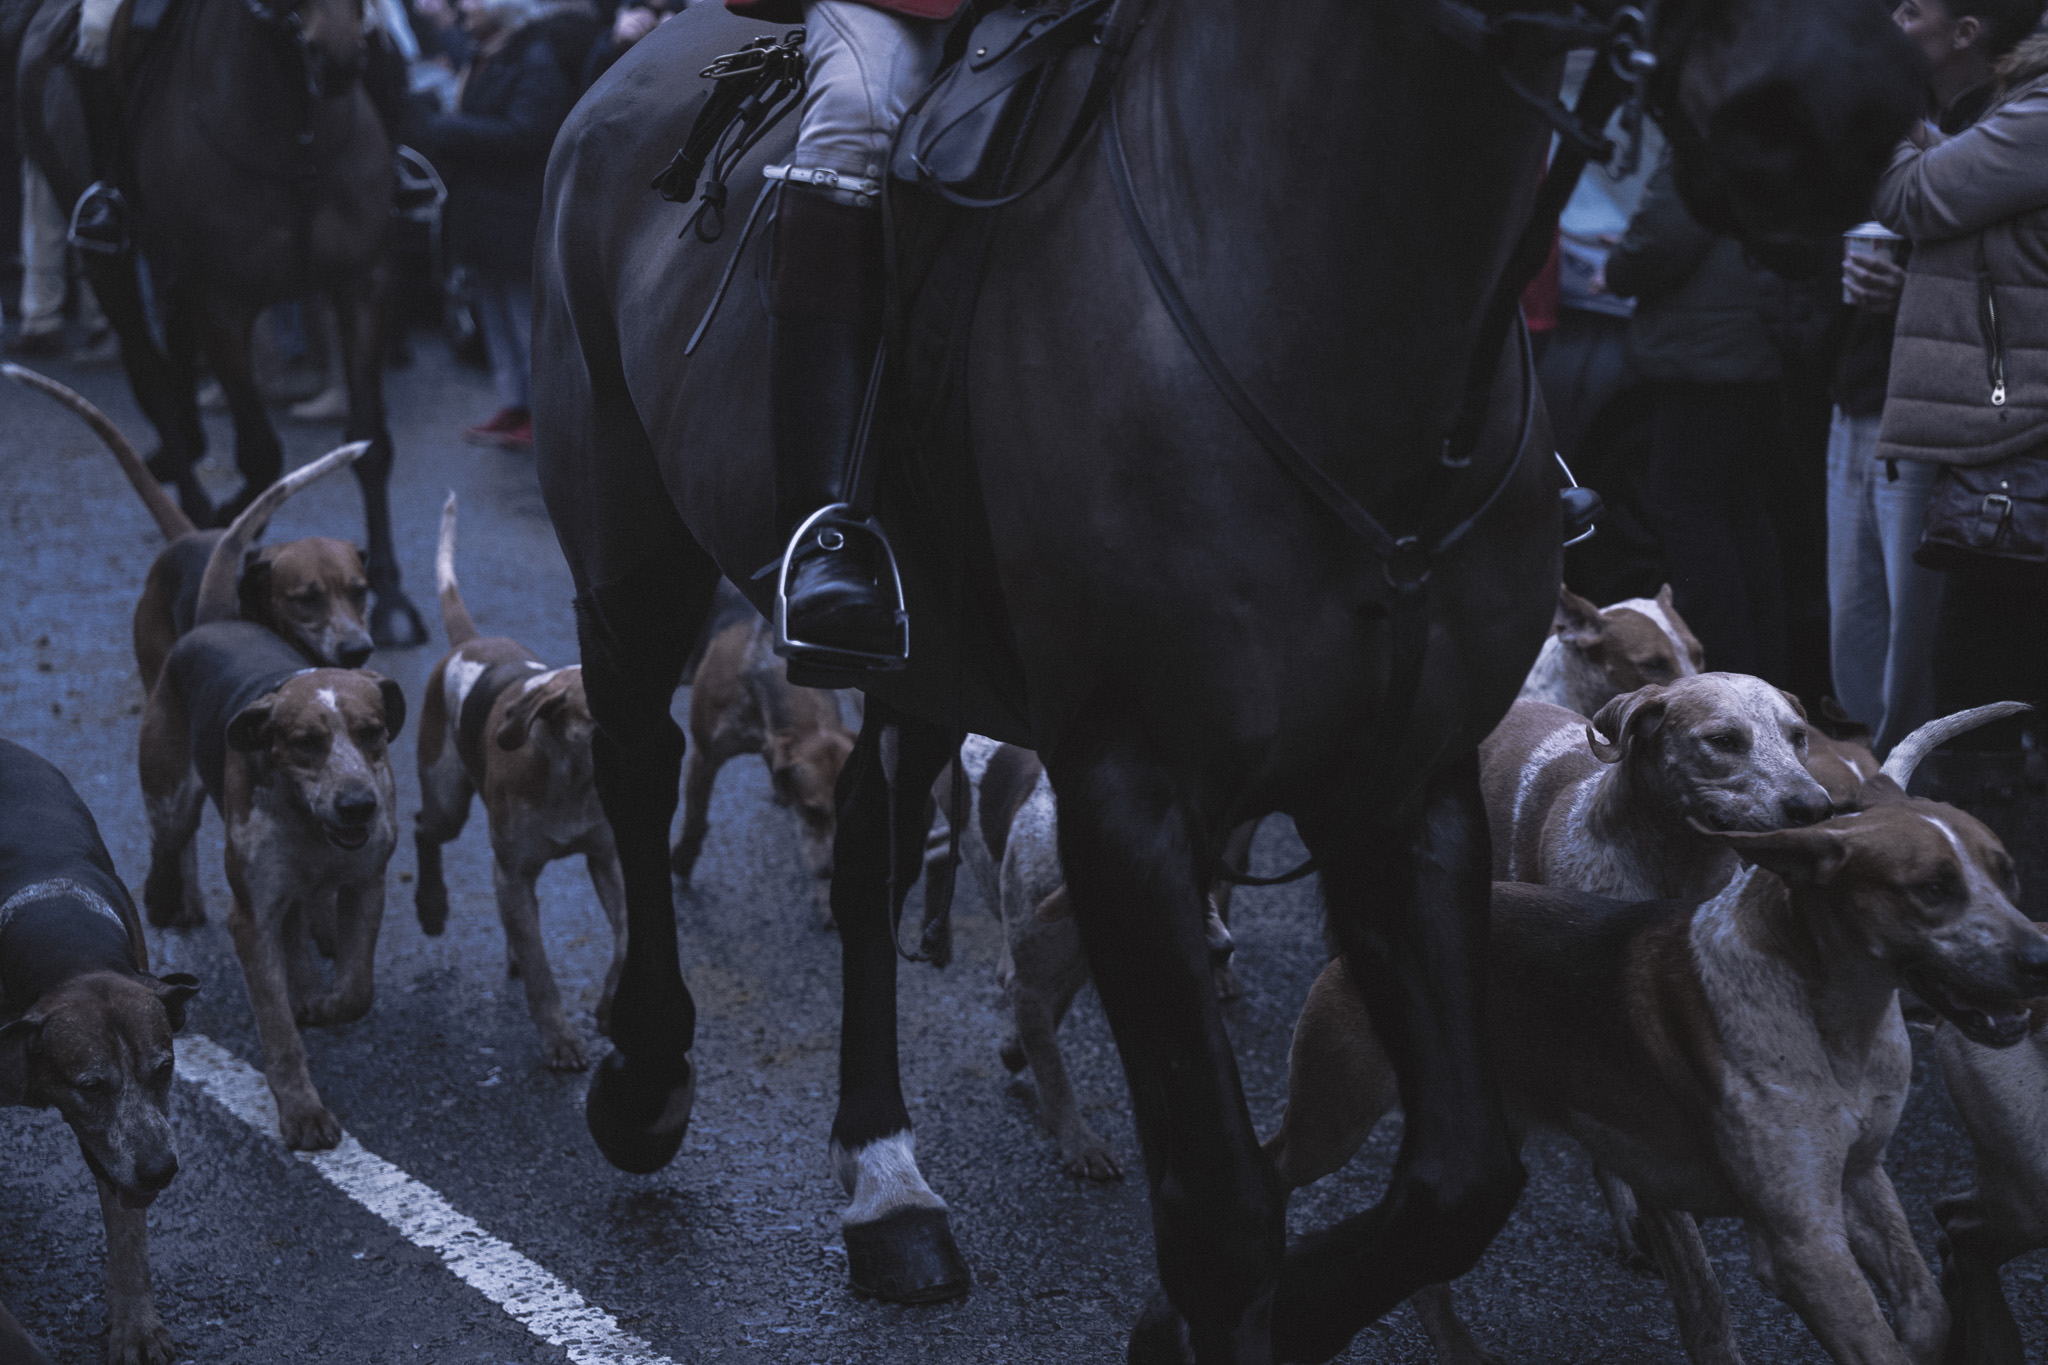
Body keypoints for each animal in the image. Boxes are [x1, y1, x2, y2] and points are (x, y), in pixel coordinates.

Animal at [0, 738, 198, 1365]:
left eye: (165, 1069)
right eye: (91, 1085)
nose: (163, 1170)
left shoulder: (117, 1148)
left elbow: (128, 1229)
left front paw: (135, 1324)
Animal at [15, 0, 427, 646]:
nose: (338, 57)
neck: (297, 132)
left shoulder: (363, 282)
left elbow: (371, 442)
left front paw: (390, 597)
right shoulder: (223, 301)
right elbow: (262, 454)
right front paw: (232, 538)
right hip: (111, 260)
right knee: (153, 371)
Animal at [137, 444, 400, 1150]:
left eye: (373, 732)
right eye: (305, 743)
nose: (358, 806)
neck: (310, 826)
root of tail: (215, 620)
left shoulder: (365, 883)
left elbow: (356, 987)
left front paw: (327, 1001)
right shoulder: (251, 919)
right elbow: (278, 1028)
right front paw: (301, 1109)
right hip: (172, 796)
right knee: (168, 844)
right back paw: (165, 898)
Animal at [414, 494, 624, 1071]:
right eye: (602, 713)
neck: (570, 777)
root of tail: (469, 642)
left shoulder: (606, 859)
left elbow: (625, 938)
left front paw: (609, 1005)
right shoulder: (515, 873)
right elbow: (542, 974)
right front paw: (560, 1040)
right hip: (447, 803)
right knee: (422, 829)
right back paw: (431, 904)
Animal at [1269, 703, 2047, 1365]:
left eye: (2011, 876)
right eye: (1932, 890)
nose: (2041, 958)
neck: (1828, 1019)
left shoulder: (1860, 1177)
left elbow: (1924, 1310)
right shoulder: (1799, 1244)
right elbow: (1766, 1316)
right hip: (1334, 1118)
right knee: (1283, 1170)